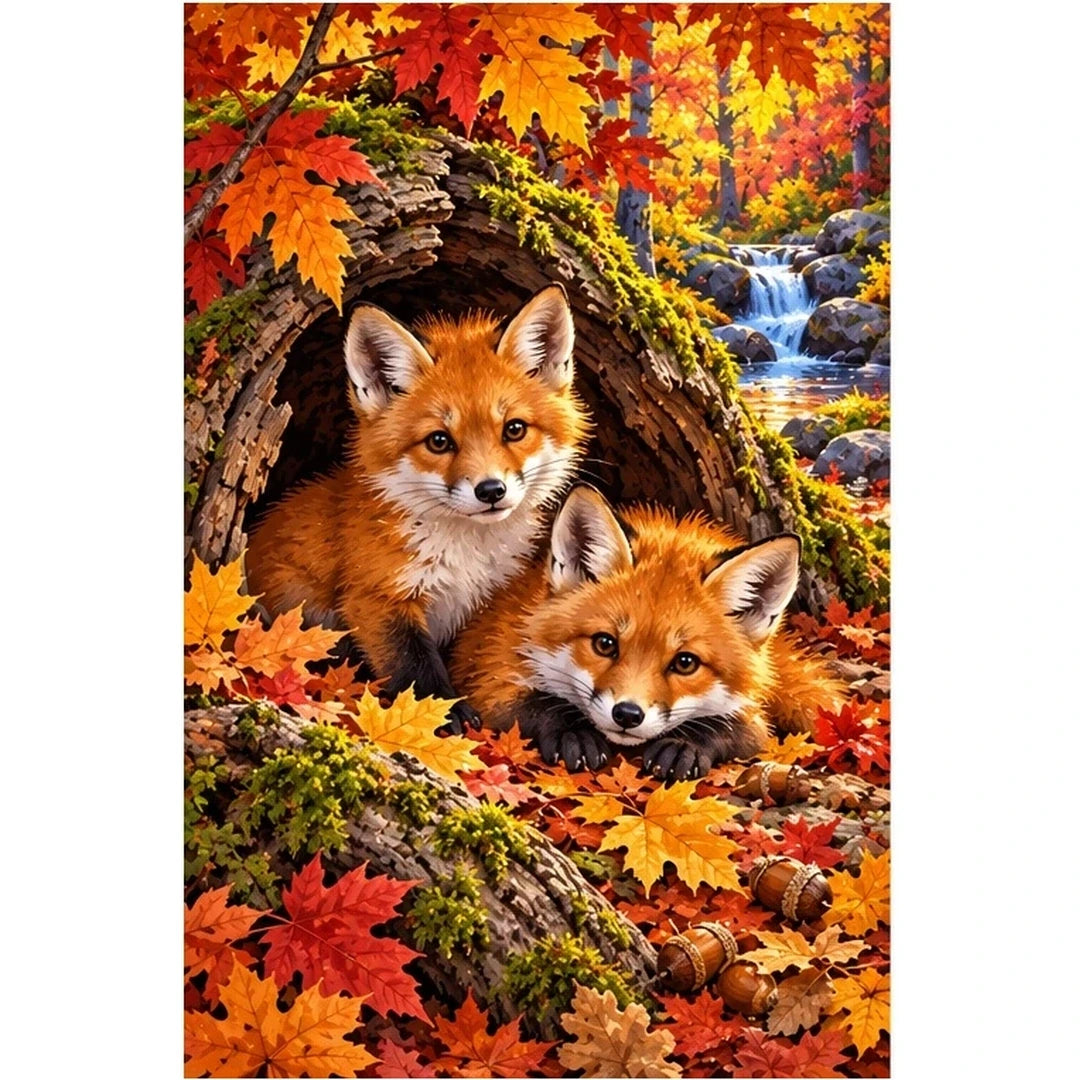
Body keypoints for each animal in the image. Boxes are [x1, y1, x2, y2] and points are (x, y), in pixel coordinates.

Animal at [245, 285, 590, 733]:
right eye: (439, 441)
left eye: (514, 429)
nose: (491, 490)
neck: (464, 557)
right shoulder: (377, 593)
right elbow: (413, 665)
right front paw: (443, 711)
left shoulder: (484, 607)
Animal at [450, 485, 846, 780]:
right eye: (605, 644)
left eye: (685, 663)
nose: (627, 714)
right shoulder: (491, 669)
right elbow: (535, 704)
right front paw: (572, 731)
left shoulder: (751, 716)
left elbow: (737, 729)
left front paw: (686, 745)